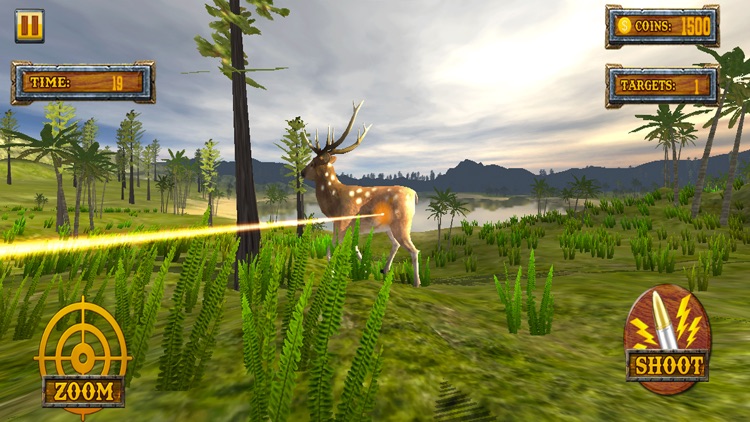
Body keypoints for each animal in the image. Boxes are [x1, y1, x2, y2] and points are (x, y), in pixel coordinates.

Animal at [301, 101, 421, 287]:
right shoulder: (341, 224)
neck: (334, 203)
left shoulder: (345, 219)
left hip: (403, 222)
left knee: (414, 250)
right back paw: (384, 270)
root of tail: (414, 194)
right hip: (388, 226)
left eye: (313, 163)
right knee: (396, 245)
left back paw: (416, 282)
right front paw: (363, 269)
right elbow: (349, 246)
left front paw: (333, 274)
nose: (301, 172)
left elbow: (335, 246)